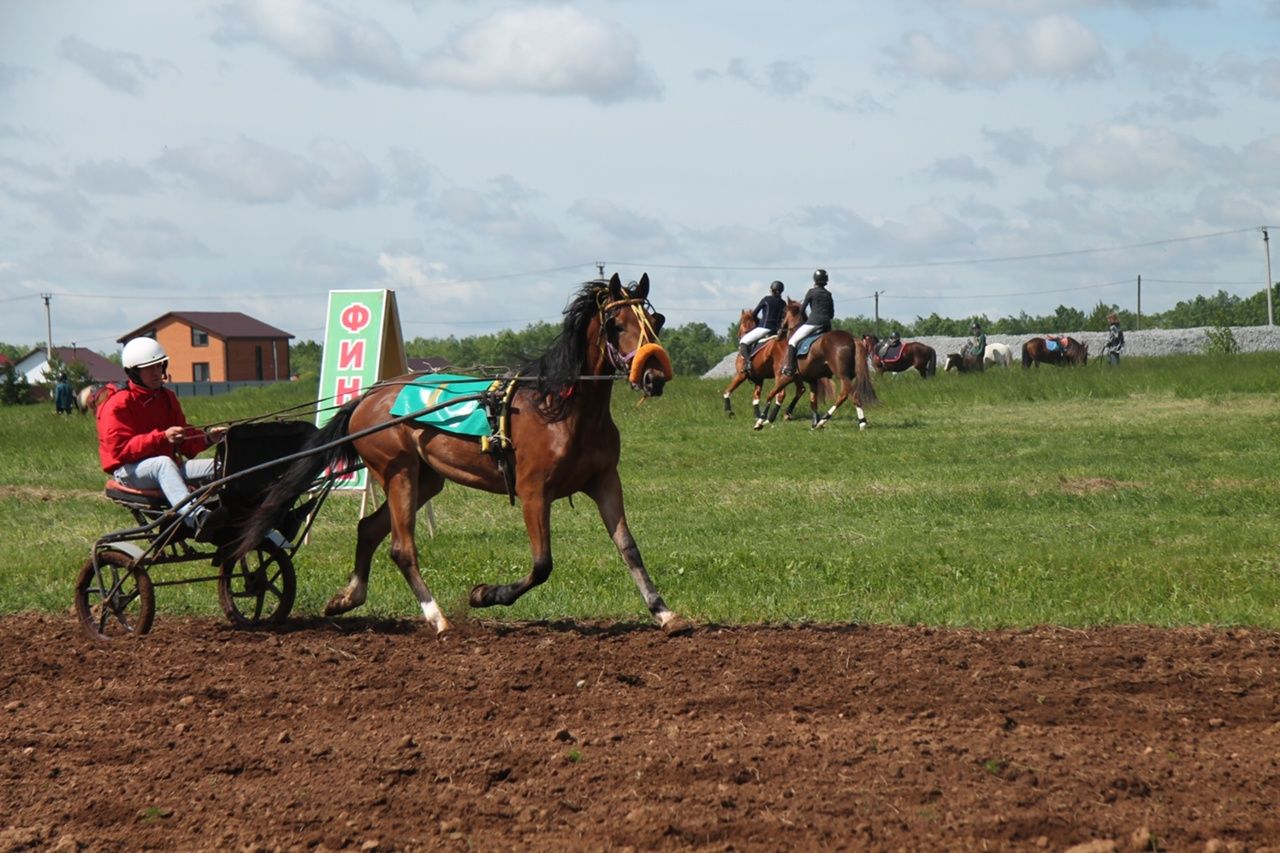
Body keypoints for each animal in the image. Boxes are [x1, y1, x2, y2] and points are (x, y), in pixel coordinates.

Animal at [230, 275, 691, 635]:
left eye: (655, 321)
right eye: (616, 324)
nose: (654, 376)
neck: (560, 409)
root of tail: (370, 396)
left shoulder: (605, 480)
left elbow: (629, 548)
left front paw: (664, 613)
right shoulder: (533, 491)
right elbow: (542, 563)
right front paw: (486, 594)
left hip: (425, 479)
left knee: (368, 528)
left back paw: (348, 597)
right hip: (398, 472)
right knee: (401, 547)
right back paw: (437, 617)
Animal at [752, 300, 875, 432]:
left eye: (783, 312)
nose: (779, 333)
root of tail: (852, 338)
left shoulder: (785, 377)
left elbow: (770, 394)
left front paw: (761, 421)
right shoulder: (812, 380)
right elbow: (813, 402)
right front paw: (814, 423)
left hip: (842, 375)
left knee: (851, 395)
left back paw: (861, 422)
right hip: (847, 376)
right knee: (844, 395)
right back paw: (822, 421)